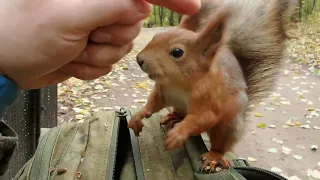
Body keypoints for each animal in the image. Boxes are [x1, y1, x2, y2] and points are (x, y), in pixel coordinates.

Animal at [127, 0, 298, 172]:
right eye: (155, 36)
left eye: (177, 52)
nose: (139, 59)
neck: (179, 83)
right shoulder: (163, 91)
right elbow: (153, 103)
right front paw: (137, 117)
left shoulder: (210, 98)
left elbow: (202, 118)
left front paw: (177, 135)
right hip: (181, 108)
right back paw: (174, 117)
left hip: (227, 127)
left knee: (220, 144)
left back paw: (214, 156)